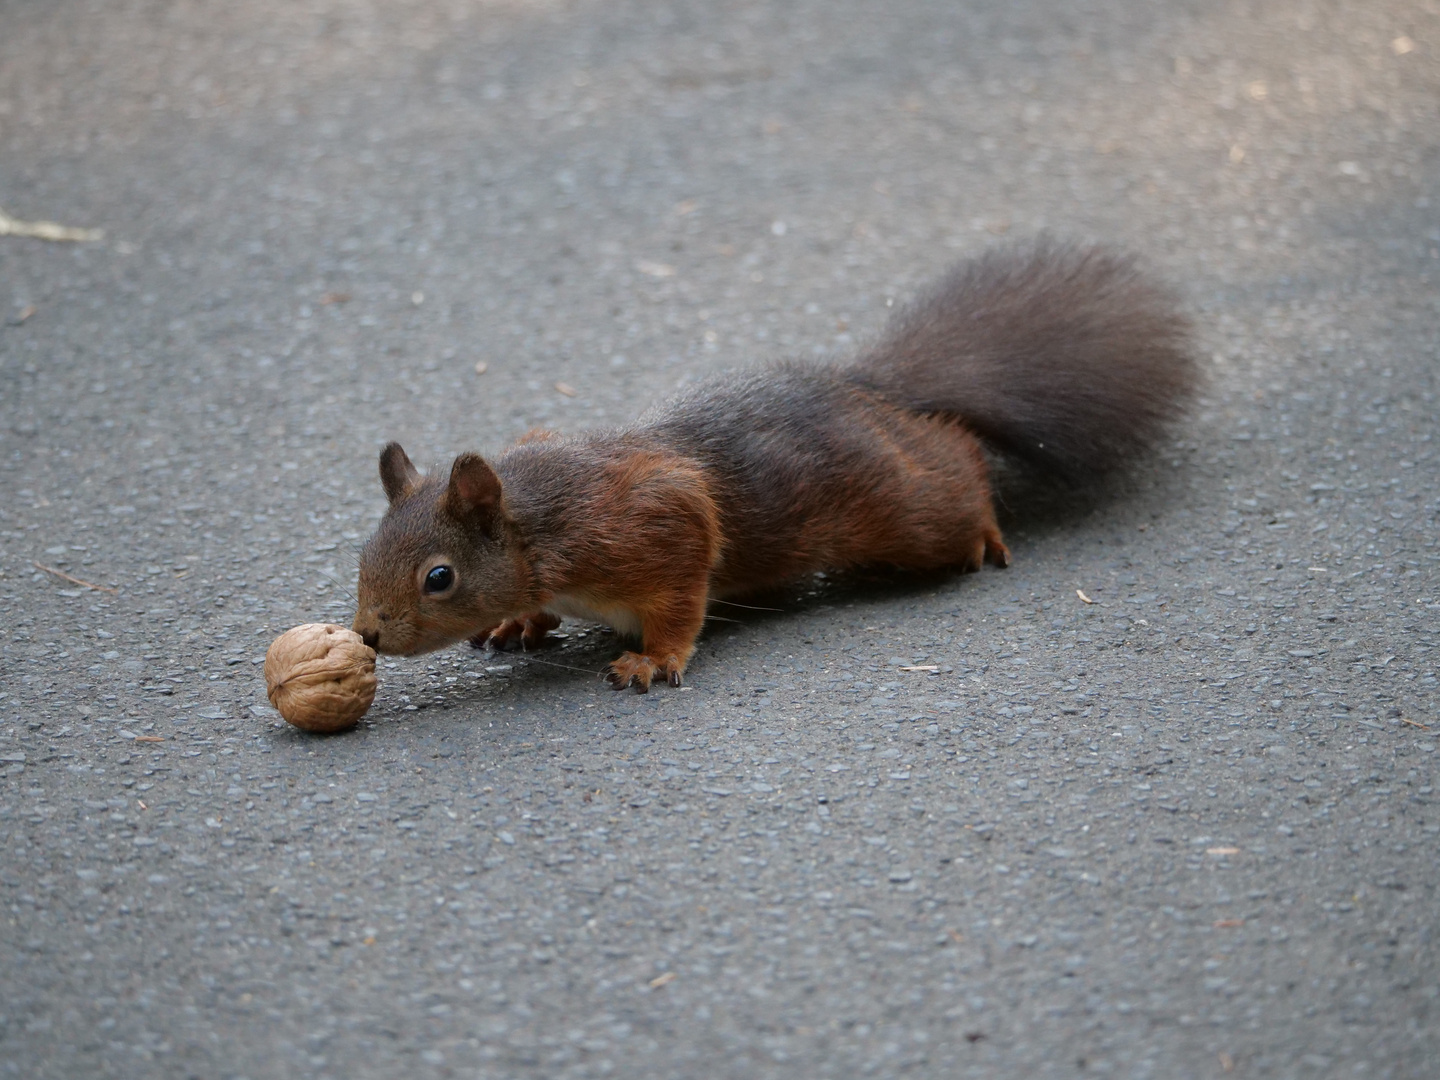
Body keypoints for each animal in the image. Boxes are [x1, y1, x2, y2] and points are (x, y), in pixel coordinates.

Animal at [354, 239, 1198, 694]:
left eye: (439, 578)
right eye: (362, 554)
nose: (365, 636)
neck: (540, 522)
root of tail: (861, 388)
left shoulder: (654, 523)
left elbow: (680, 596)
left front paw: (652, 659)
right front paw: (522, 618)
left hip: (906, 515)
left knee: (953, 463)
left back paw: (984, 528)